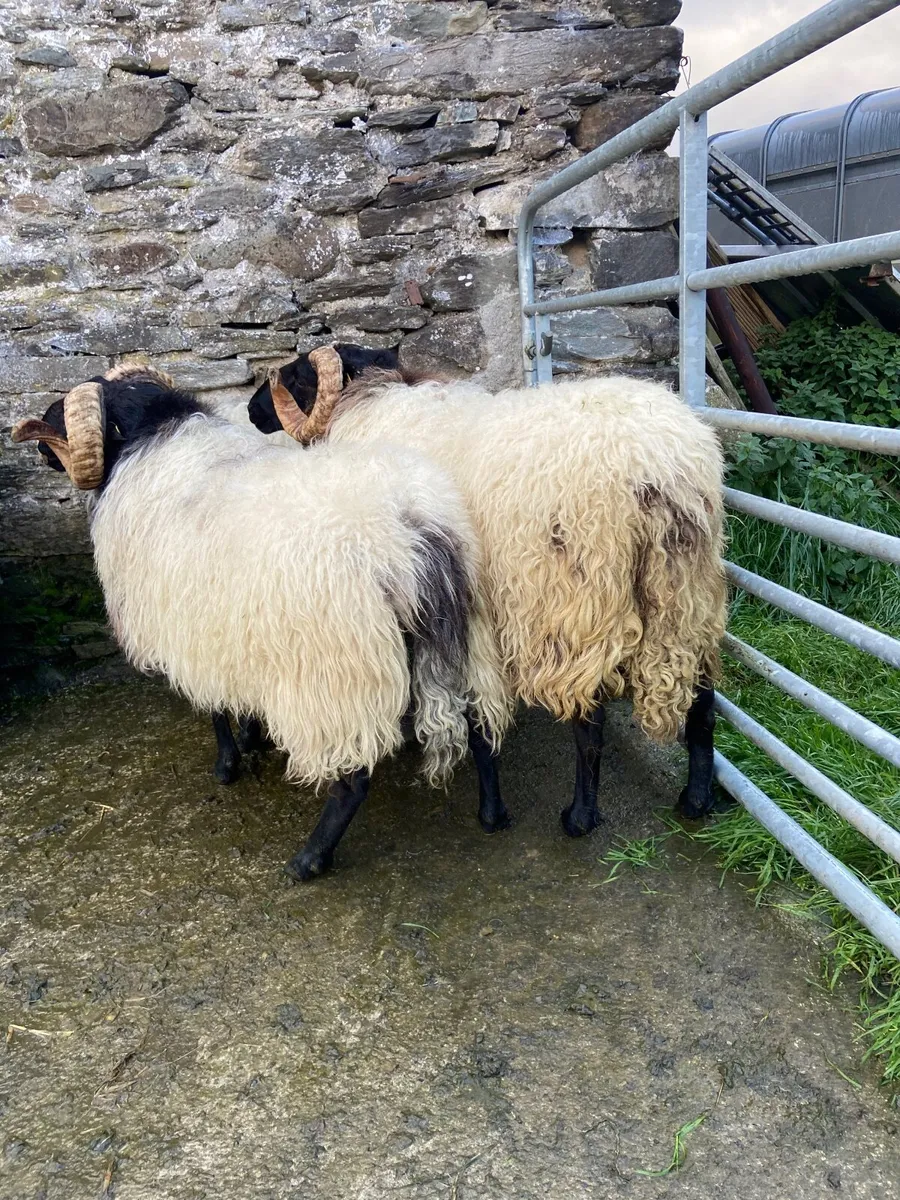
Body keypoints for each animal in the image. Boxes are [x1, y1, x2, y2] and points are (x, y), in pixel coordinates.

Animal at [13, 359, 512, 880]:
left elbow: (214, 708)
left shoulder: (197, 632)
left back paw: (309, 859)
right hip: (467, 636)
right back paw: (492, 814)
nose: (42, 445)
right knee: (481, 729)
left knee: (352, 780)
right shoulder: (240, 632)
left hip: (339, 675)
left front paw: (227, 766)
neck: (153, 440)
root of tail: (410, 534)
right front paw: (254, 738)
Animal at [248, 345, 728, 835]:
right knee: (704, 700)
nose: (251, 411)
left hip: (574, 604)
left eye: (296, 377)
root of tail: (655, 468)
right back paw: (697, 798)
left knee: (589, 721)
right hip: (689, 596)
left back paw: (580, 816)